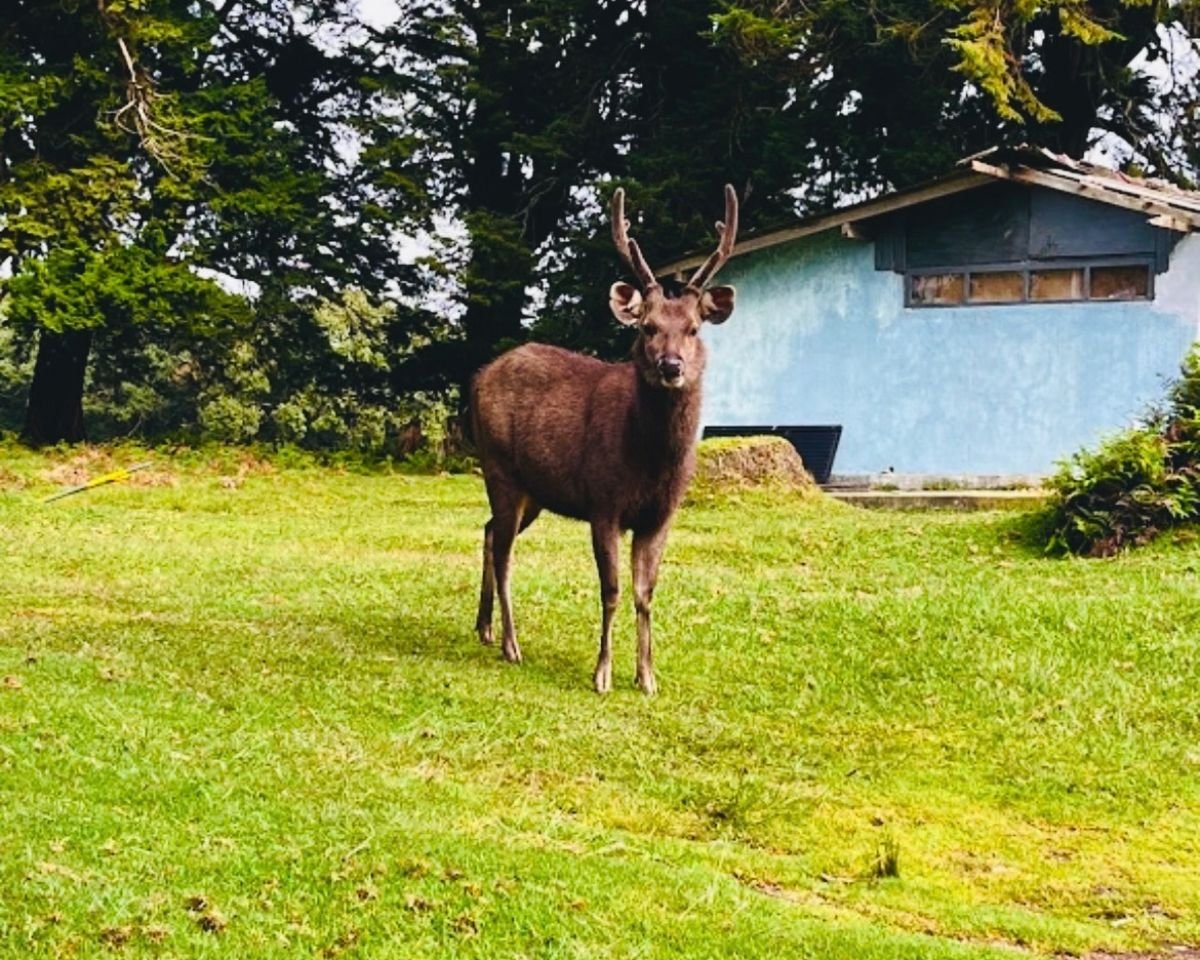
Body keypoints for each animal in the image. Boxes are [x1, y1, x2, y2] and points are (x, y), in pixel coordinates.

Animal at [470, 185, 738, 694]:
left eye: (693, 328)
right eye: (647, 327)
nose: (670, 366)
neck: (651, 461)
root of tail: (478, 376)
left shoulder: (661, 514)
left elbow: (645, 593)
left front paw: (648, 676)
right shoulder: (603, 501)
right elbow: (611, 589)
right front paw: (603, 673)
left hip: (534, 491)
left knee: (489, 530)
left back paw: (484, 627)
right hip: (498, 466)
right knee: (505, 550)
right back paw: (512, 644)